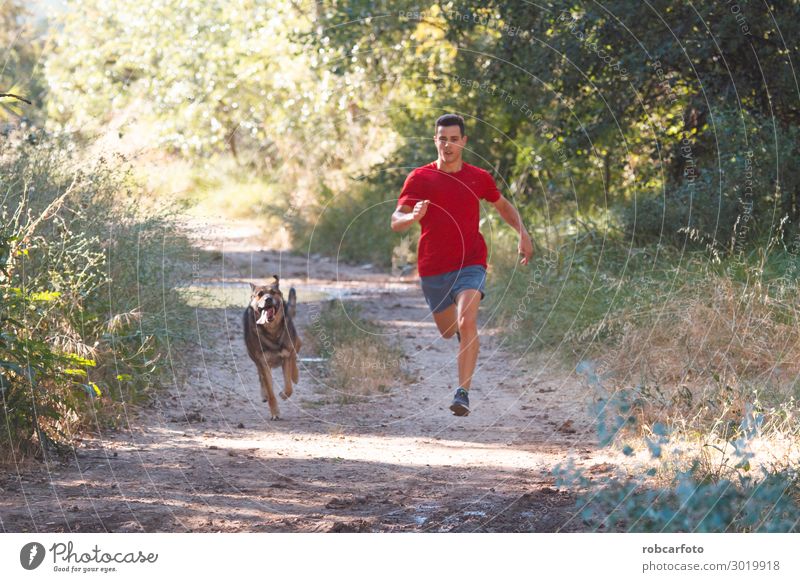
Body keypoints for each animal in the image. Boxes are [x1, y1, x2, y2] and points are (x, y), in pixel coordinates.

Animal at [242, 278, 302, 420]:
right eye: (260, 294)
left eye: (273, 292)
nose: (268, 299)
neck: (272, 331)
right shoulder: (263, 361)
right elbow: (270, 390)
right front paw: (275, 412)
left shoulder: (286, 356)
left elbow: (288, 386)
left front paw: (284, 394)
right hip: (254, 357)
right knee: (261, 376)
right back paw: (264, 394)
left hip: (294, 342)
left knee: (296, 350)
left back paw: (295, 375)